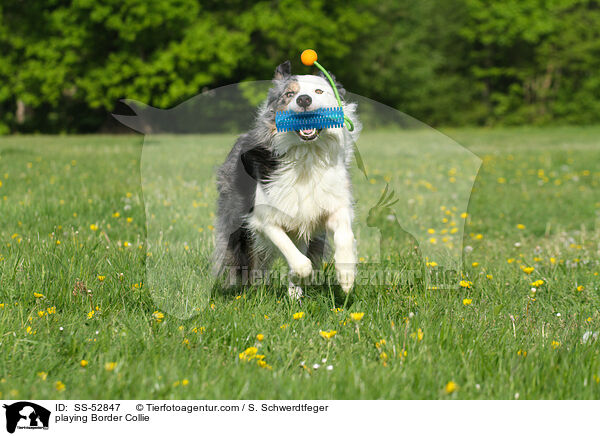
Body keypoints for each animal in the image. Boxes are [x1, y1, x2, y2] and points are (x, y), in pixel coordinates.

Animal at [213, 59, 358, 298]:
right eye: (290, 94)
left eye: (319, 91)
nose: (304, 99)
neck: (306, 155)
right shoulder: (263, 218)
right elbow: (296, 258)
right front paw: (302, 276)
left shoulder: (332, 205)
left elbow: (344, 235)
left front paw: (346, 276)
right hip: (238, 224)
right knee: (248, 262)